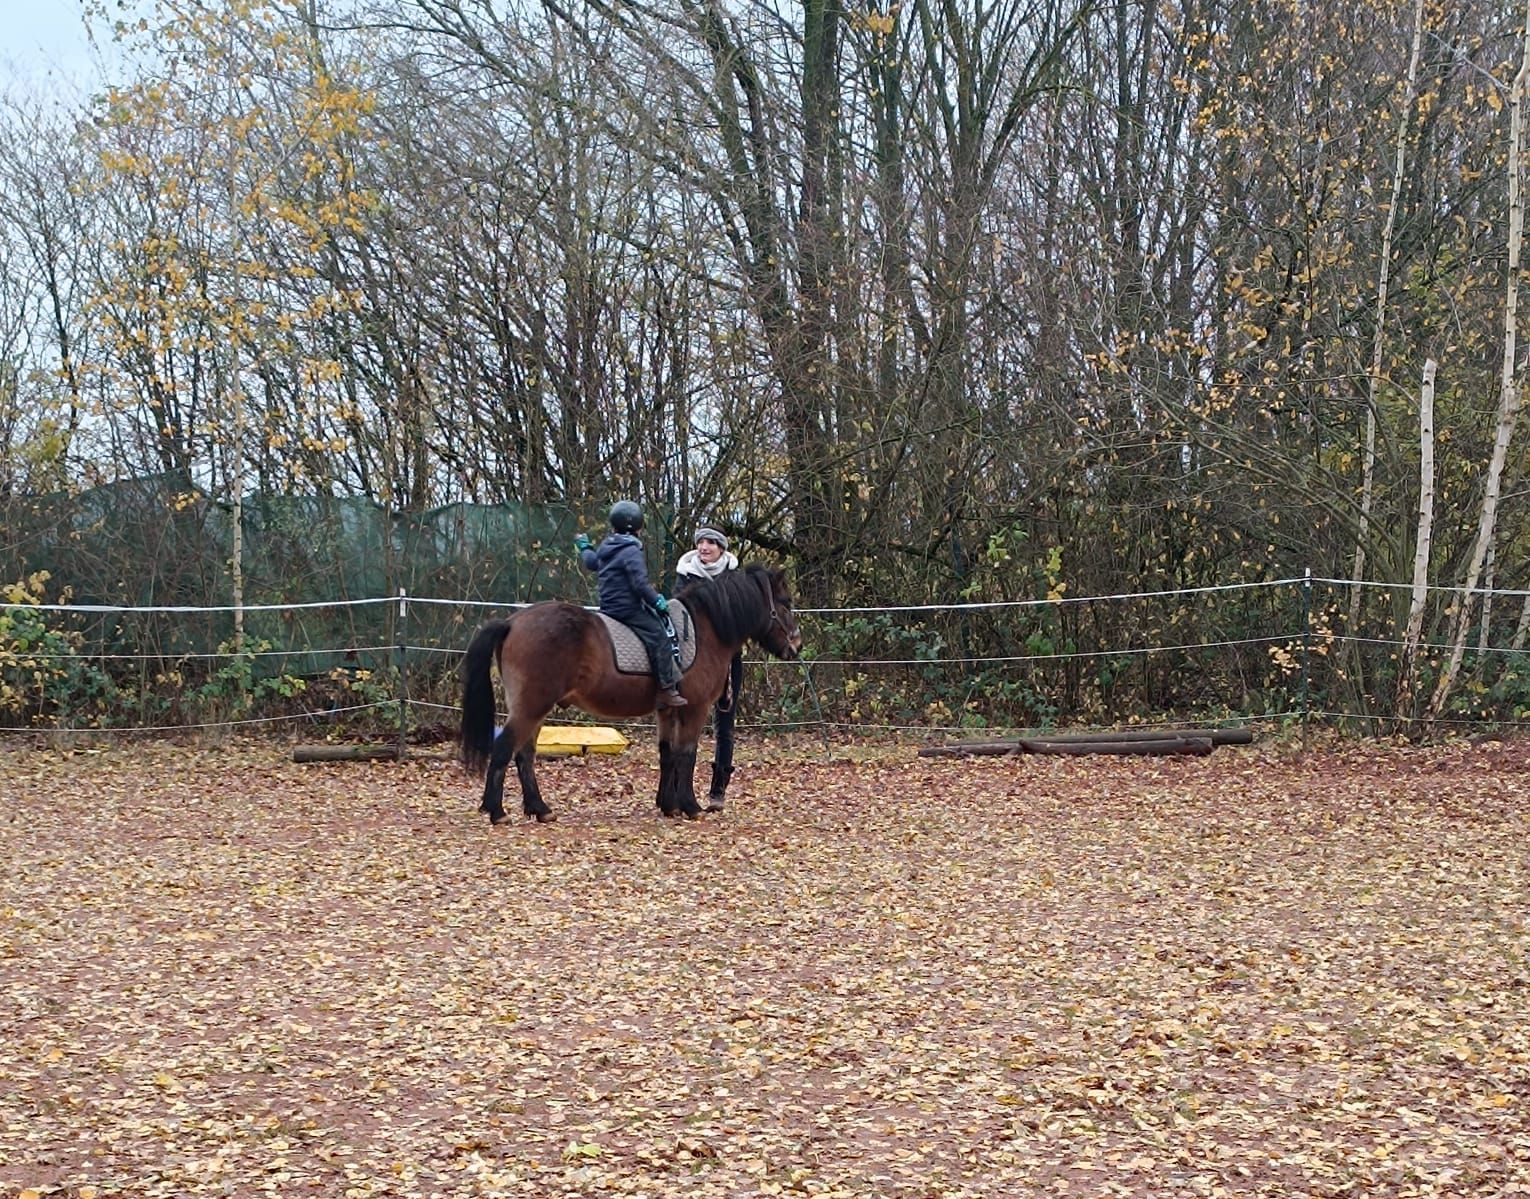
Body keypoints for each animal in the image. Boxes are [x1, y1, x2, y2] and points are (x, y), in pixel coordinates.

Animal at [459, 563, 802, 824]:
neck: (706, 629)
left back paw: (540, 809)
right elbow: (687, 754)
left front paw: (668, 805)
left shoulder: (668, 709)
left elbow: (667, 753)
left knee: (525, 754)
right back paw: (497, 811)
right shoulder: (695, 708)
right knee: (505, 748)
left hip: (535, 708)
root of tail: (512, 622)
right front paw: (690, 806)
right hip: (532, 706)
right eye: (786, 602)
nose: (796, 646)